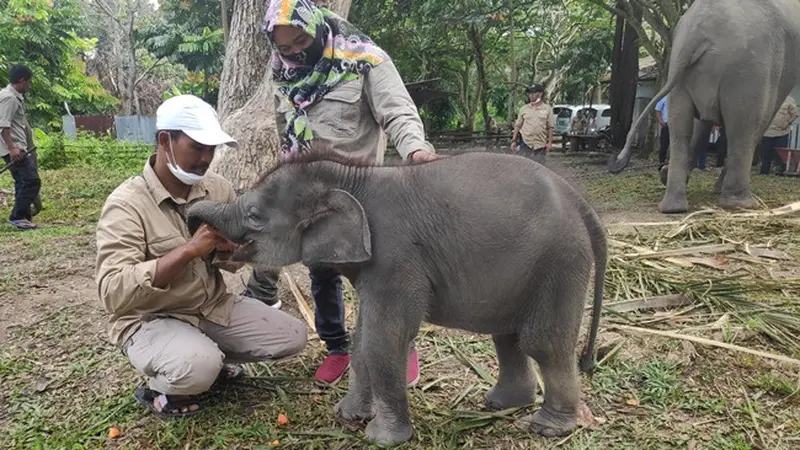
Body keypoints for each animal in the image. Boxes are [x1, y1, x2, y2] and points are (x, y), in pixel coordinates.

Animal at [188, 152, 608, 446]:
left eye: (255, 215)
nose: (196, 226)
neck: (353, 175)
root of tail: (581, 202)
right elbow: (363, 340)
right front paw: (347, 416)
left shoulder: (395, 257)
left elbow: (384, 339)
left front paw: (381, 438)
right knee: (506, 335)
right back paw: (500, 404)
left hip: (560, 261)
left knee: (542, 342)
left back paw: (546, 428)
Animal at [608, 0, 796, 214]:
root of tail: (697, 31)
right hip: (749, 70)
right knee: (746, 126)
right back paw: (742, 204)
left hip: (682, 68)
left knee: (680, 127)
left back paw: (672, 204)